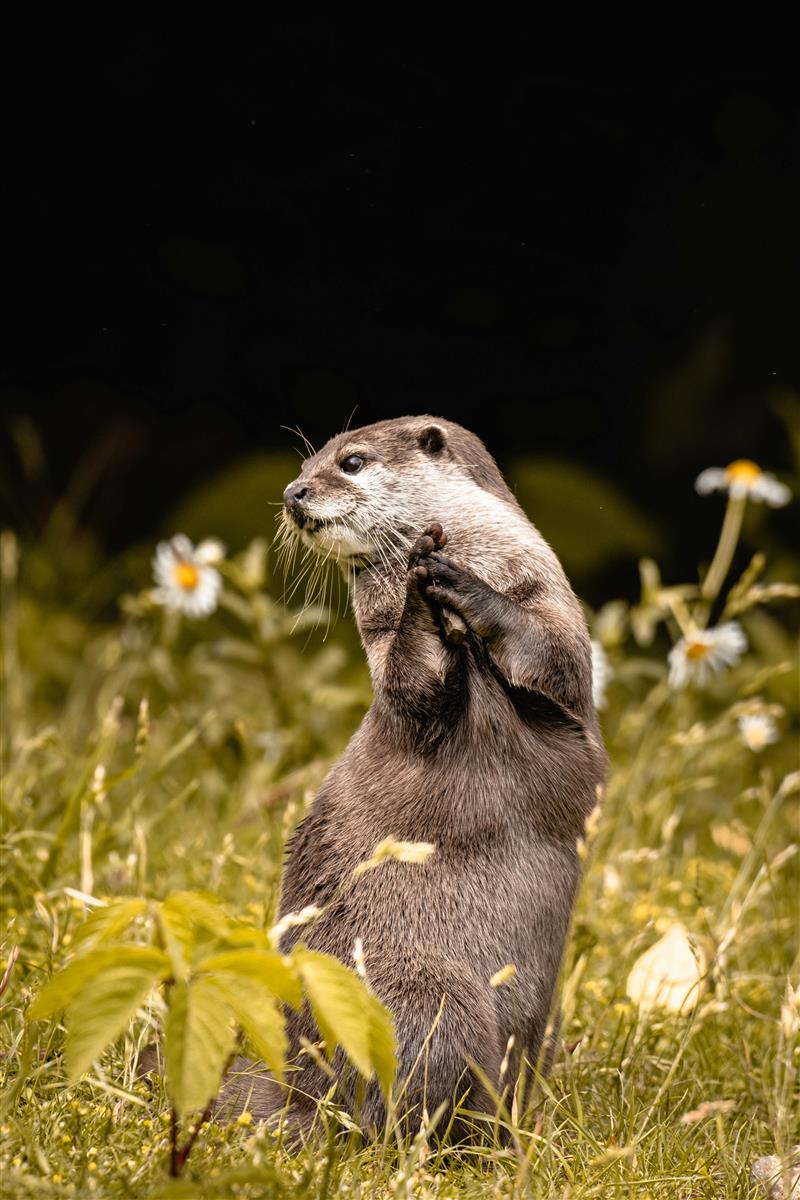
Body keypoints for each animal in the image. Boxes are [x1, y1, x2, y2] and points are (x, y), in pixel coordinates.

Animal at [224, 417, 599, 1137]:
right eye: (305, 465)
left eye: (350, 461)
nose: (294, 493)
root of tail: (294, 1086)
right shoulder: (391, 663)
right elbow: (412, 675)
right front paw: (421, 597)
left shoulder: (555, 623)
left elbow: (551, 654)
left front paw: (460, 587)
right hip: (424, 992)